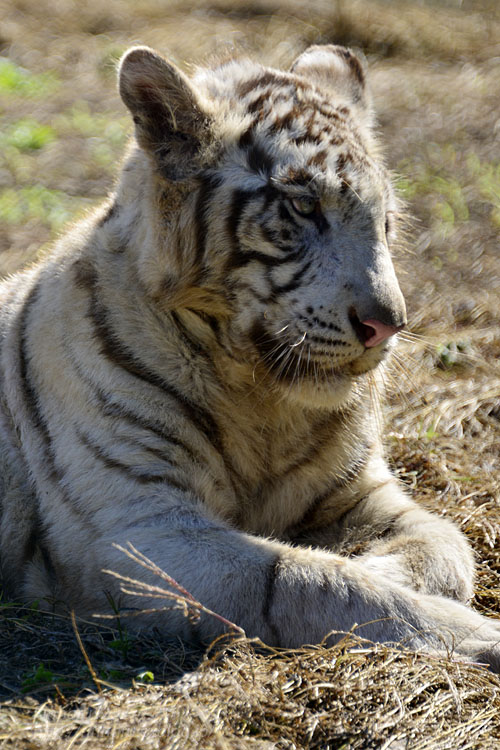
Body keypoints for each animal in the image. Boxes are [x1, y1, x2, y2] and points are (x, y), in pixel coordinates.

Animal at [0, 45, 500, 668]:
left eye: (385, 221)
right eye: (304, 205)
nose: (388, 325)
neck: (261, 402)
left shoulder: (364, 493)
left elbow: (445, 547)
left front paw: (383, 568)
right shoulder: (140, 529)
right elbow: (312, 581)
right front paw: (473, 633)